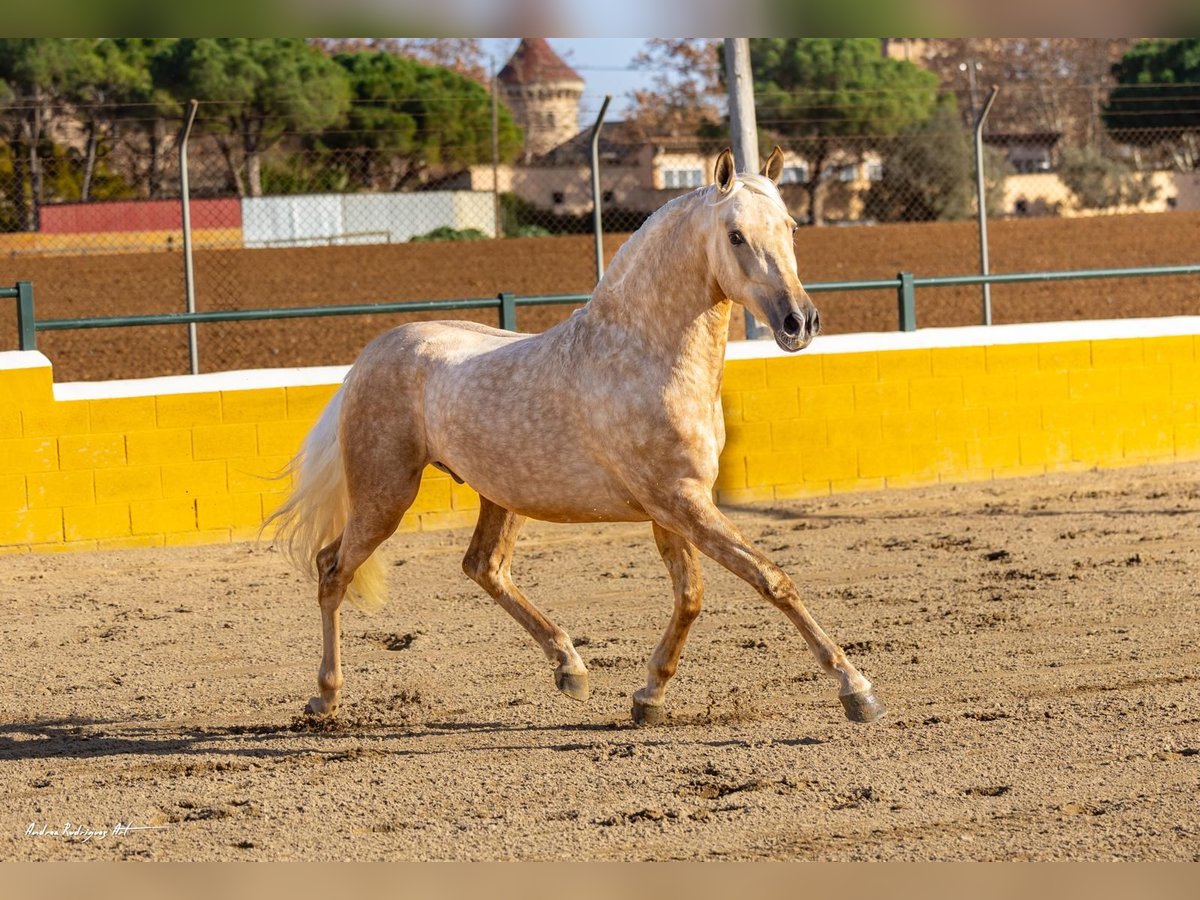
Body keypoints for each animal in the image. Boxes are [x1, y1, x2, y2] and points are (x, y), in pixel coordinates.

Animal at [274, 146, 892, 724]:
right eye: (735, 235)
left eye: (790, 227)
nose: (799, 323)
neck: (644, 357)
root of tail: (371, 355)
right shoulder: (681, 502)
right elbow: (770, 579)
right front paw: (857, 690)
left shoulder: (673, 507)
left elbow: (690, 597)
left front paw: (648, 697)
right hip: (385, 496)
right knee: (332, 570)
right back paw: (325, 698)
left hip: (501, 496)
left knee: (483, 567)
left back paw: (570, 667)